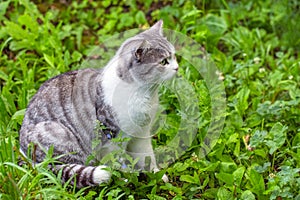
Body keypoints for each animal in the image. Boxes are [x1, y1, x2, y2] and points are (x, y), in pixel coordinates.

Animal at [19, 20, 178, 188]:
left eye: (174, 56)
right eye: (163, 62)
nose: (177, 67)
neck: (144, 94)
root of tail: (24, 156)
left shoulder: (141, 135)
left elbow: (148, 157)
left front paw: (157, 176)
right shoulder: (112, 137)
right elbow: (117, 161)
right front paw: (125, 180)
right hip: (60, 135)